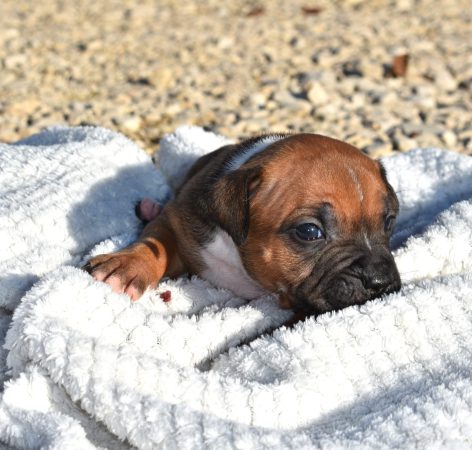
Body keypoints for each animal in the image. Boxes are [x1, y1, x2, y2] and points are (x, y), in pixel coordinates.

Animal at [83, 134, 400, 316]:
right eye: (310, 232)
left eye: (389, 221)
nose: (380, 281)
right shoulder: (179, 219)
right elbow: (156, 243)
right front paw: (125, 267)